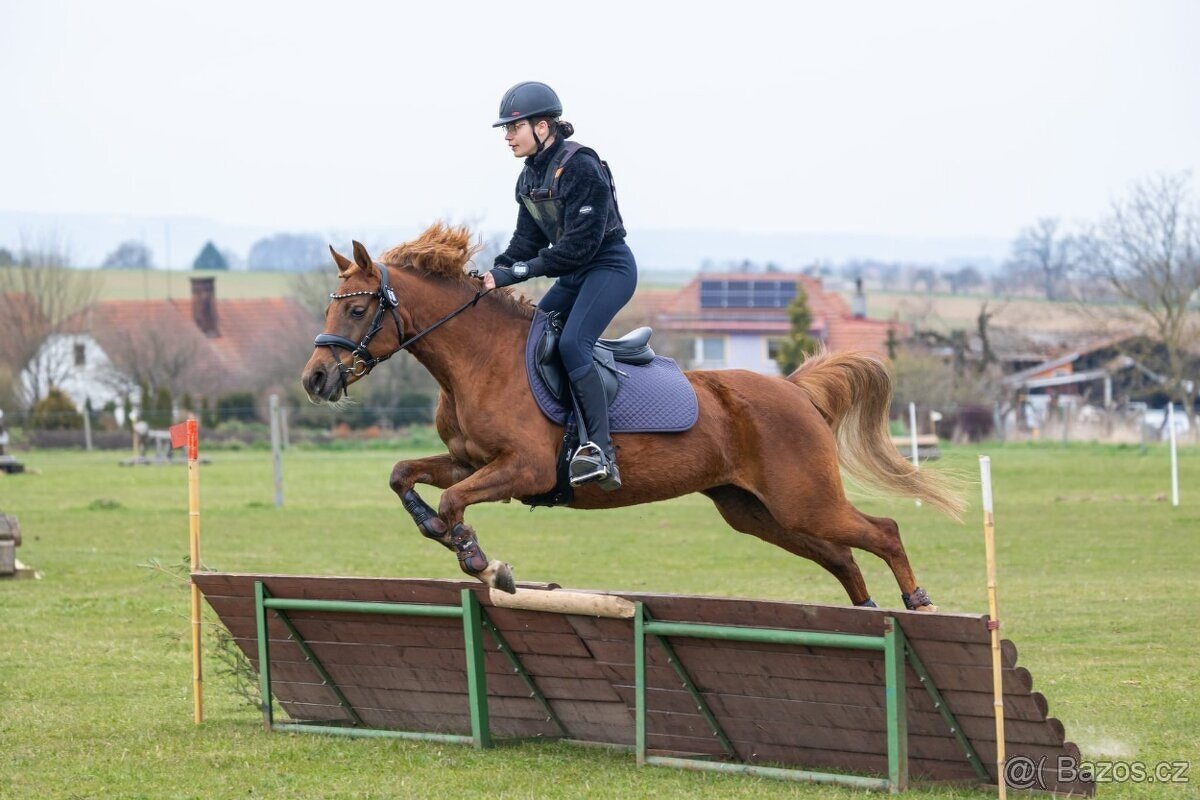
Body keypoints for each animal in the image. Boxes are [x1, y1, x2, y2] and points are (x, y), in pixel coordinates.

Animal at [300, 224, 964, 611]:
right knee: (843, 556)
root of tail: (795, 392)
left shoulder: (524, 469)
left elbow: (453, 502)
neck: (479, 360)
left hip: (804, 500)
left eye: (356, 309)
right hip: (758, 512)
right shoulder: (470, 461)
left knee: (884, 532)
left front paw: (478, 559)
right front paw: (440, 533)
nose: (315, 379)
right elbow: (405, 475)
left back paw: (918, 604)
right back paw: (871, 617)